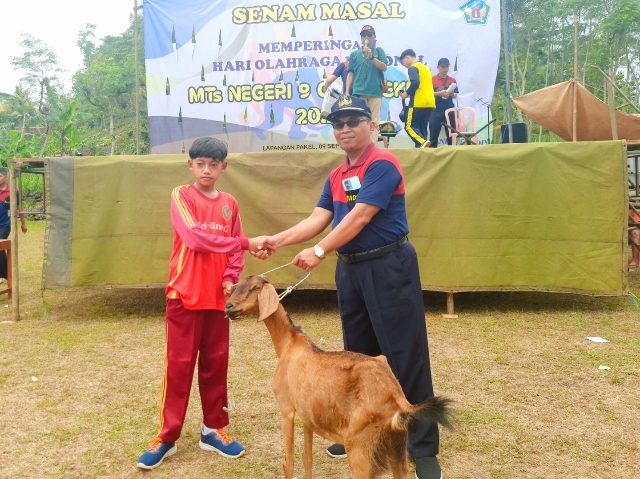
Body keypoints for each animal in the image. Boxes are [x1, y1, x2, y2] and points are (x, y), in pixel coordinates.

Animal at [224, 276, 450, 478]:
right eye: (236, 285)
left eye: (254, 288)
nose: (228, 307)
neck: (290, 343)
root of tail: (397, 397)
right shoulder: (307, 415)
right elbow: (307, 459)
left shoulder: (287, 409)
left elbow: (288, 464)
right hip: (396, 448)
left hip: (359, 448)